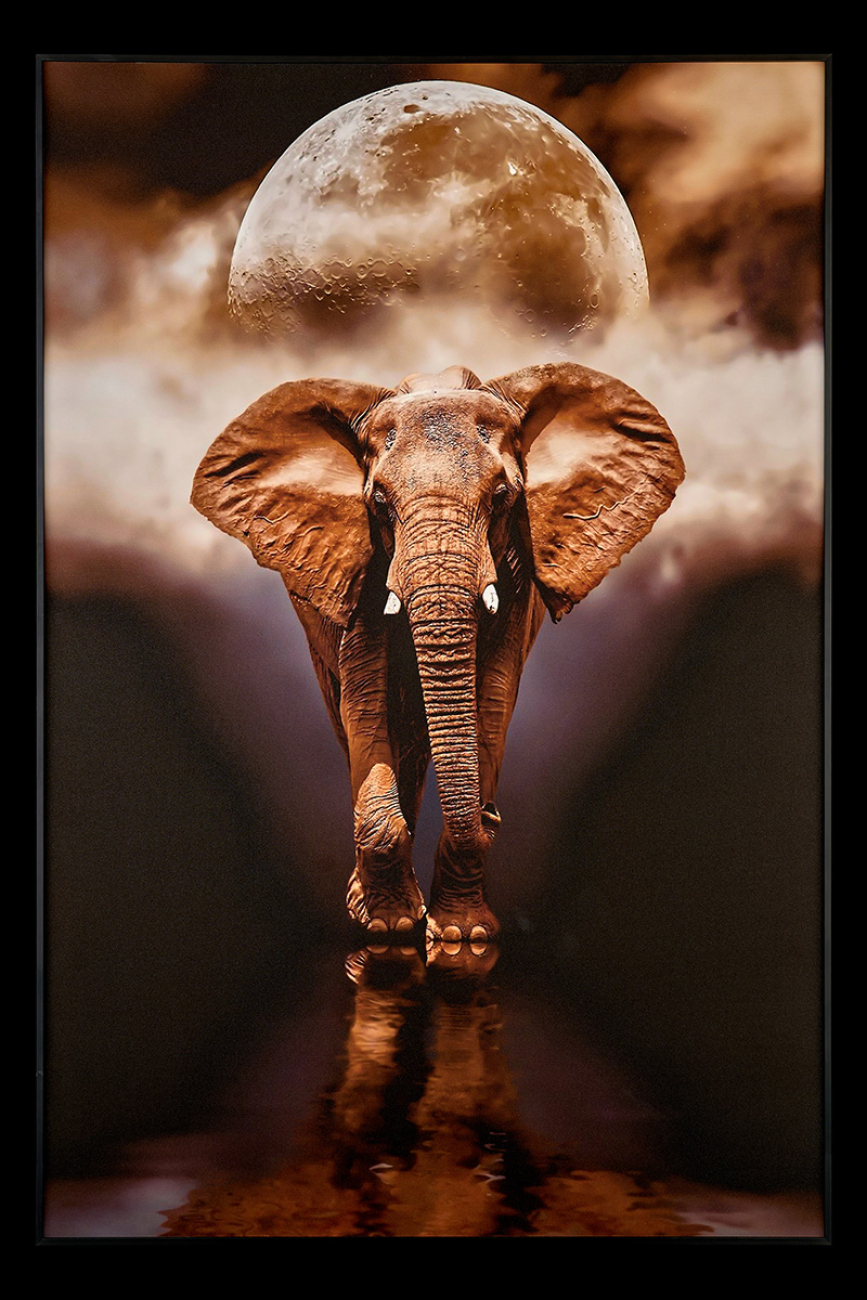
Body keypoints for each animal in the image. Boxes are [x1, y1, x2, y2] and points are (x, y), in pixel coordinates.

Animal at [191, 362, 684, 944]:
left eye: (502, 497)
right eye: (379, 502)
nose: (492, 814)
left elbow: (493, 696)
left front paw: (460, 936)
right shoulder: (361, 564)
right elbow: (365, 699)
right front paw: (390, 928)